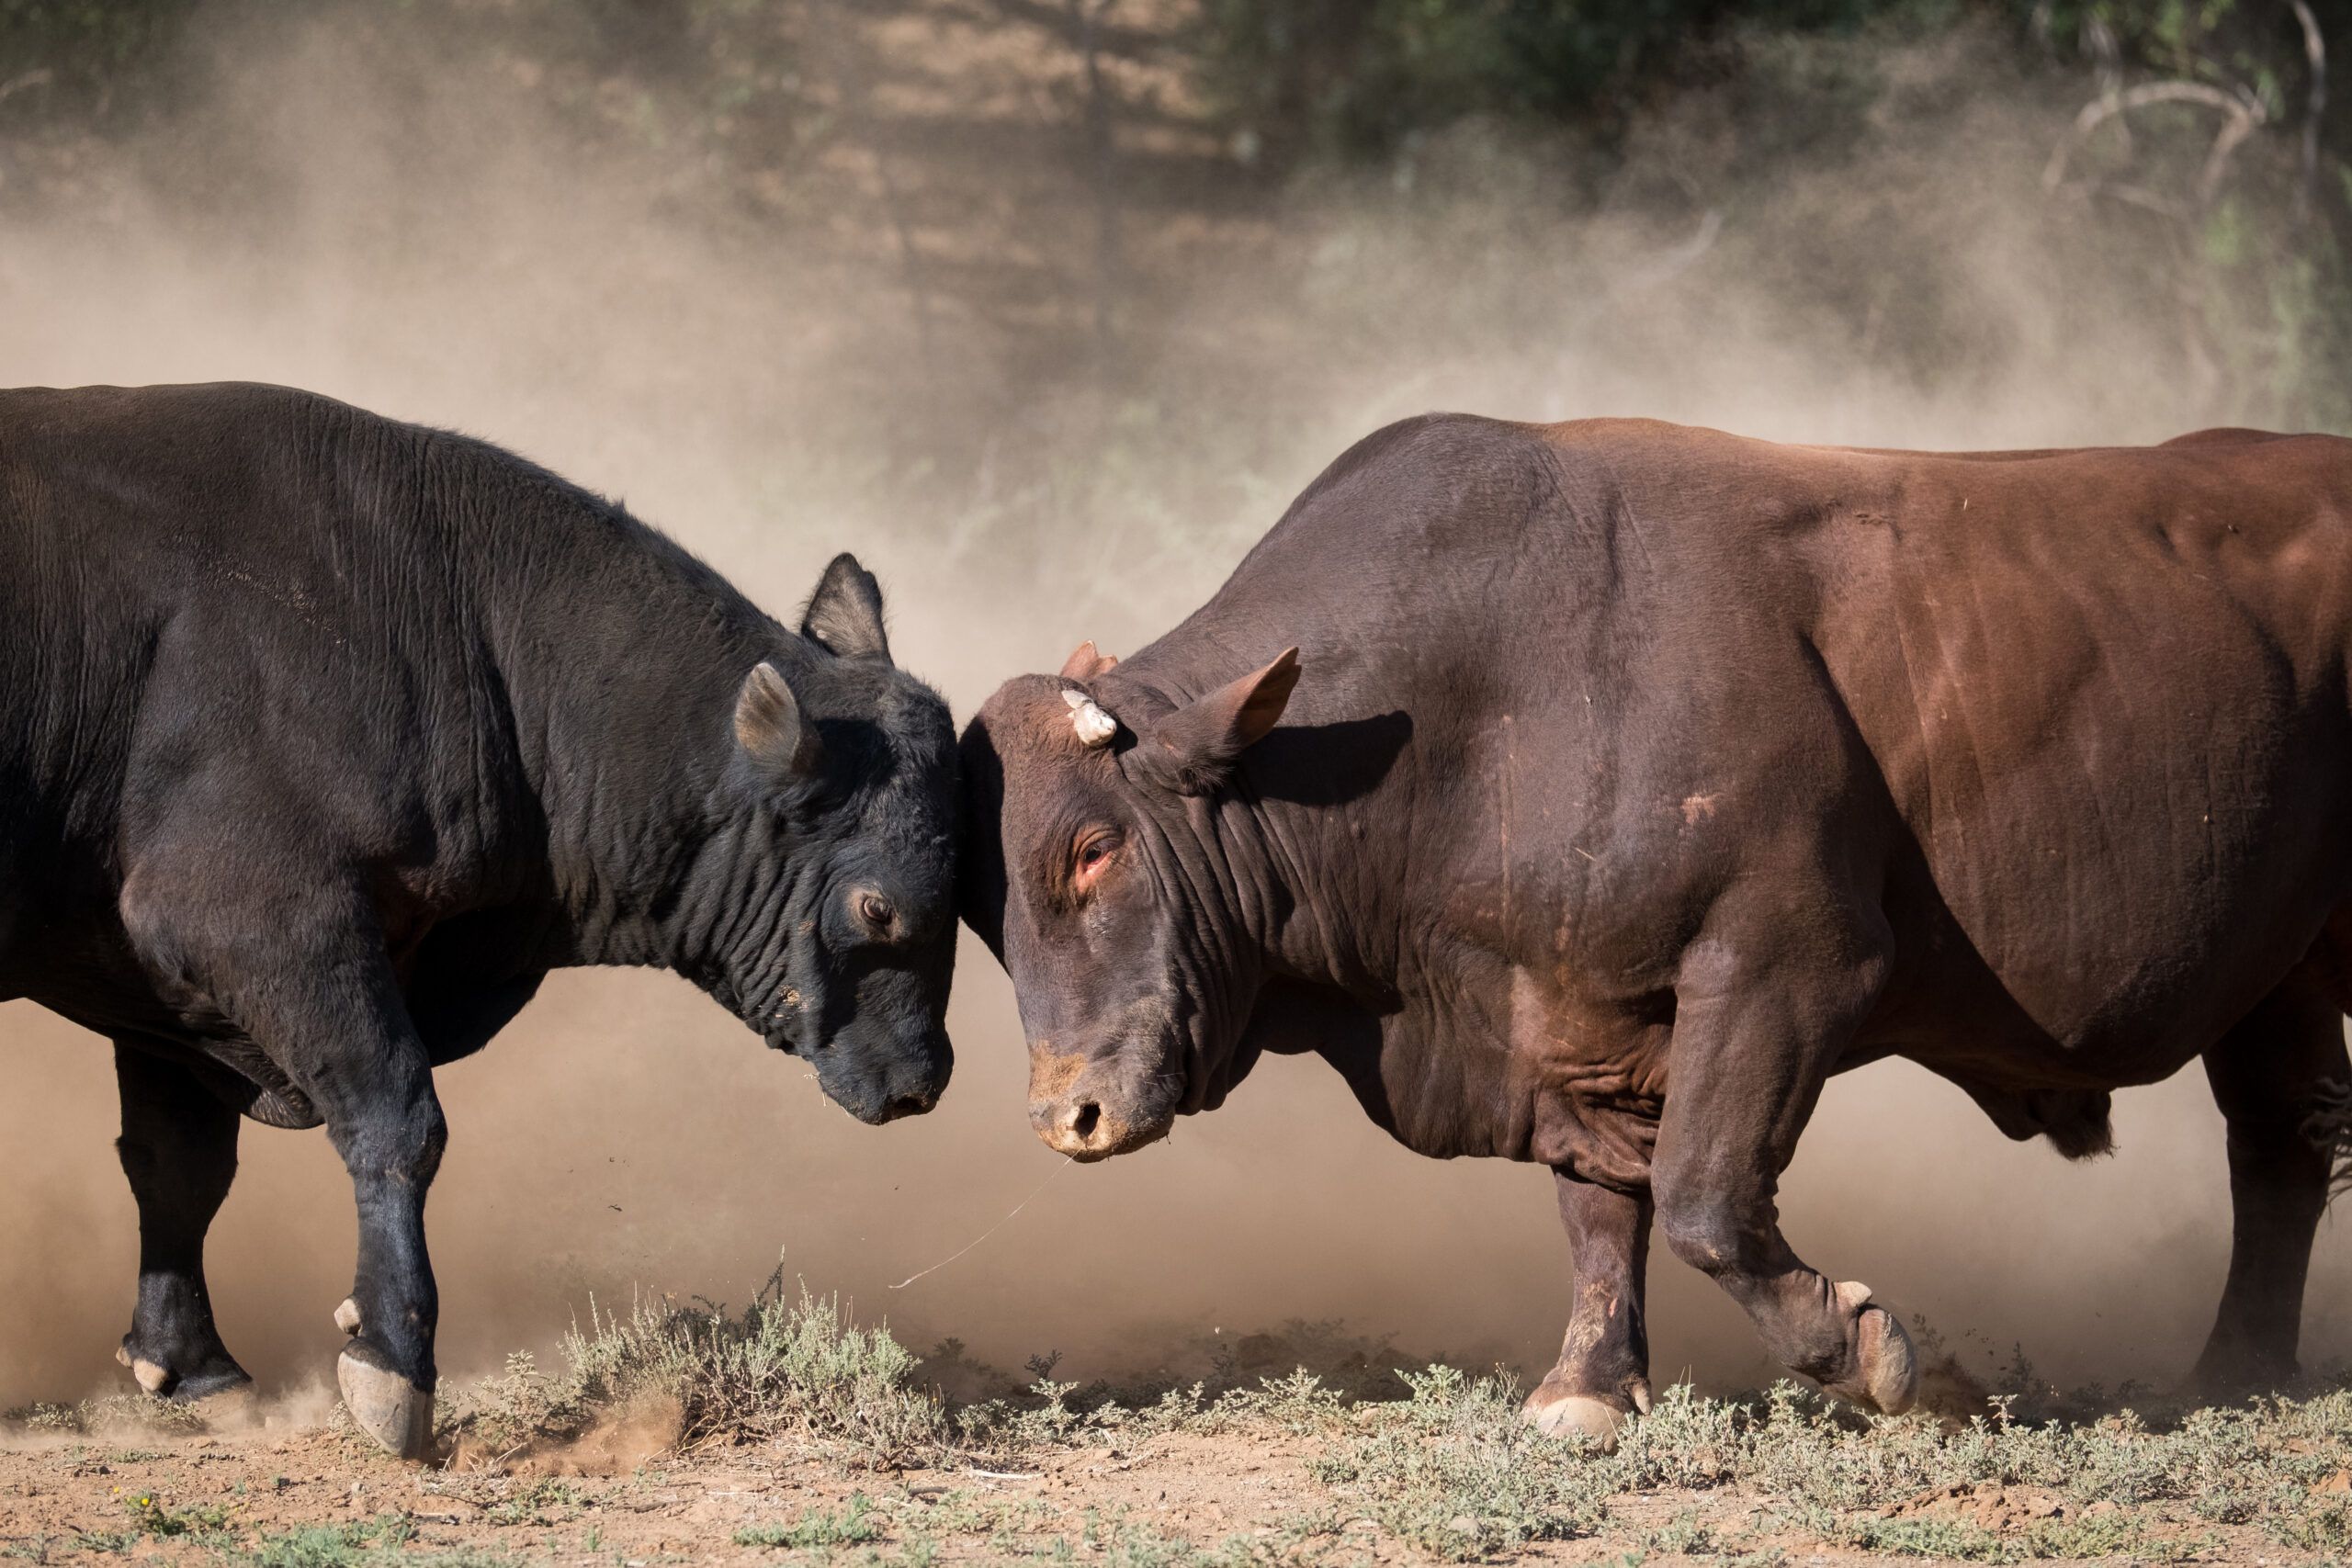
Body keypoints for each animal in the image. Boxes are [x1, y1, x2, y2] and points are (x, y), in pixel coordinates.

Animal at [0, 389, 959, 1457]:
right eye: (876, 905)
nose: (922, 1079)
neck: (462, 634)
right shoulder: (261, 925)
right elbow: (396, 1121)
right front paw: (393, 1365)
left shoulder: (164, 1000)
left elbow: (178, 1168)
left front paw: (194, 1366)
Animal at [955, 413, 2352, 1438]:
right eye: (983, 899)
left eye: (1094, 848)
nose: (1068, 1113)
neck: (1487, 697)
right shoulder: (1573, 1020)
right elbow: (1601, 1206)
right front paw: (1590, 1387)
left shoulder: (1784, 970)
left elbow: (1702, 1197)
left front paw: (1869, 1351)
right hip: (2278, 977)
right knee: (2281, 1145)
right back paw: (2239, 1369)